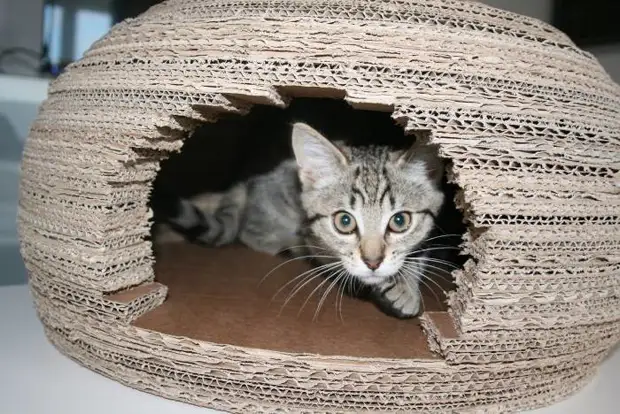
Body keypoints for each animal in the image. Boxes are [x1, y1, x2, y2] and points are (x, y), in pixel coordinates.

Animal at [153, 121, 448, 318]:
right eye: (344, 222)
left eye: (400, 221)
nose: (373, 262)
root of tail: (249, 186)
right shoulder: (313, 238)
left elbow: (417, 254)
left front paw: (406, 284)